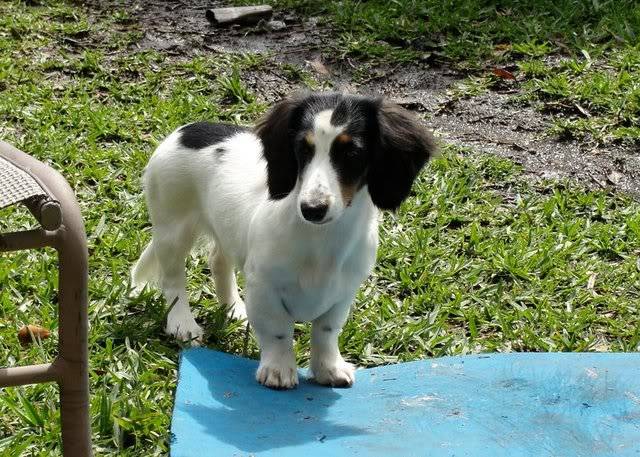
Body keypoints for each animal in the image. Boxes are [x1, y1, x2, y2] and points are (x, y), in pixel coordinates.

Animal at [132, 91, 438, 388]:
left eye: (352, 152)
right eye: (303, 149)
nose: (312, 209)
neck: (321, 239)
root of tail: (185, 130)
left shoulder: (342, 293)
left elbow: (326, 332)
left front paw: (328, 369)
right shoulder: (265, 287)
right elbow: (277, 331)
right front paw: (278, 370)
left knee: (218, 260)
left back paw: (234, 308)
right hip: (172, 230)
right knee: (173, 280)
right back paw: (182, 323)